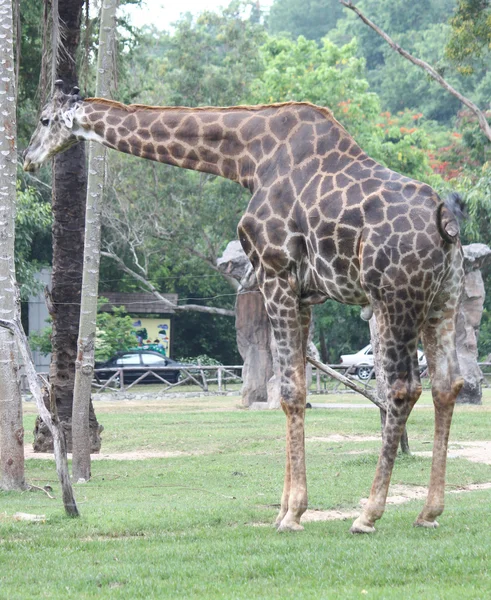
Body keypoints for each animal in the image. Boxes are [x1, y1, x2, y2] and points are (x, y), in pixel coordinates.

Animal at [25, 81, 466, 536]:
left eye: (43, 119)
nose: (27, 159)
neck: (248, 158)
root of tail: (445, 225)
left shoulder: (275, 274)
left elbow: (290, 392)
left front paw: (293, 514)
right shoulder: (304, 293)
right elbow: (294, 386)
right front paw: (284, 510)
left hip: (395, 298)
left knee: (401, 388)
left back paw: (368, 514)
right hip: (444, 297)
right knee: (446, 384)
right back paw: (429, 512)